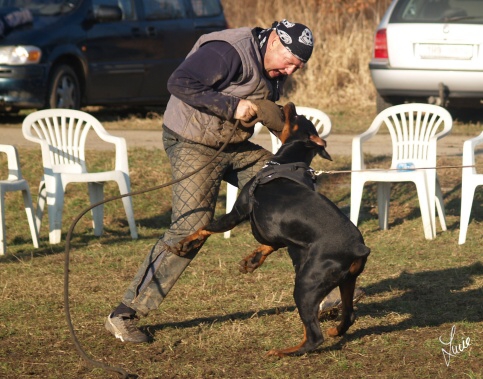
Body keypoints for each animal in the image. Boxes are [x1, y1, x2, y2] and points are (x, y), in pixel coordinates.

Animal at [172, 102, 372, 358]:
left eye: (297, 116)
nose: (289, 103)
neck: (285, 163)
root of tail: (359, 248)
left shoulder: (238, 211)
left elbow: (207, 226)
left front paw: (186, 242)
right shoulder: (280, 233)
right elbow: (269, 244)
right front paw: (252, 259)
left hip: (306, 285)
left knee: (313, 336)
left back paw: (284, 352)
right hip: (347, 281)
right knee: (348, 315)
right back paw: (335, 331)